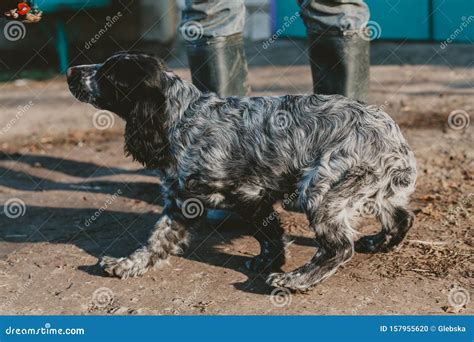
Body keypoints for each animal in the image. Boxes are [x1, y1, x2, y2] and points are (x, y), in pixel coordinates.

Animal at [66, 53, 414, 292]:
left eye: (108, 74)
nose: (70, 71)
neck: (183, 119)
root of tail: (393, 134)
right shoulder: (181, 202)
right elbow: (157, 241)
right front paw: (126, 265)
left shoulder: (250, 195)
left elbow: (268, 235)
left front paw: (273, 265)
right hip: (373, 190)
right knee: (402, 217)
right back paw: (378, 244)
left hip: (321, 190)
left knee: (339, 248)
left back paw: (296, 280)